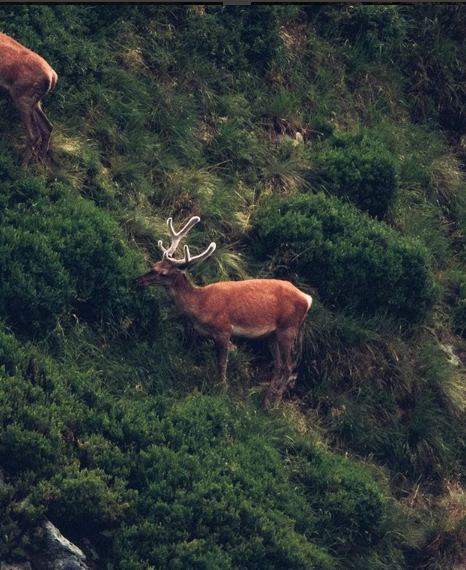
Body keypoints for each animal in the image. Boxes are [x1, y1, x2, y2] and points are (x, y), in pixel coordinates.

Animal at [0, 31, 58, 165]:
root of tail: (53, 77)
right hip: (34, 102)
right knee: (47, 127)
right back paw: (39, 159)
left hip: (23, 98)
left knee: (34, 134)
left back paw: (22, 166)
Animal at [137, 215, 314, 406]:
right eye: (154, 264)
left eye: (162, 273)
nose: (138, 280)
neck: (200, 304)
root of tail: (307, 299)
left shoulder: (223, 329)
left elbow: (222, 364)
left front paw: (221, 392)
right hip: (272, 335)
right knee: (279, 366)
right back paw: (265, 403)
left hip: (288, 329)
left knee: (289, 367)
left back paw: (275, 405)